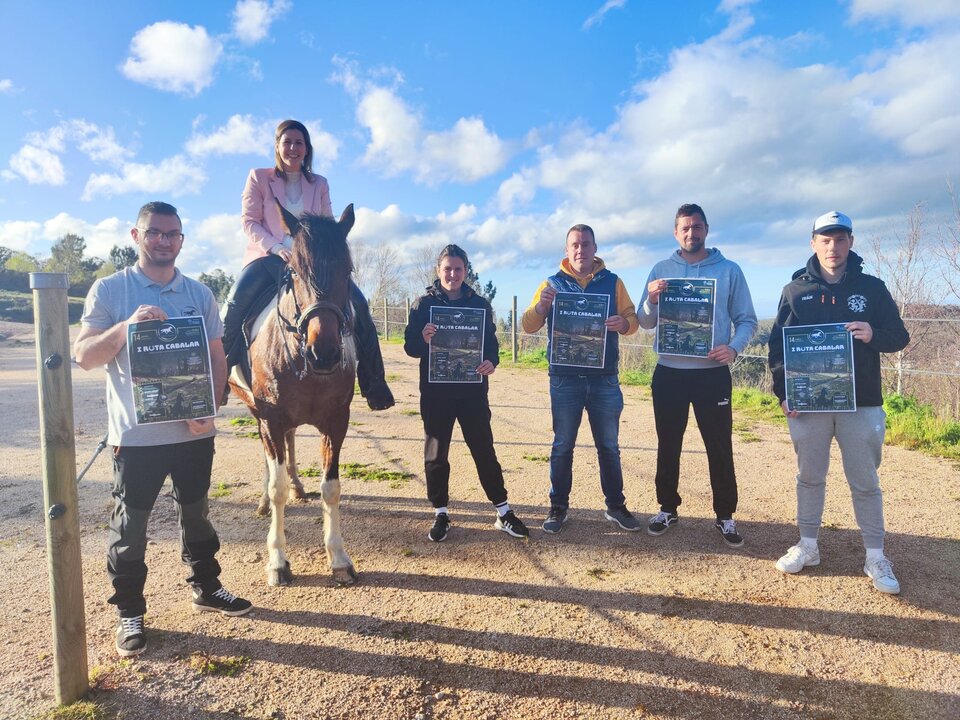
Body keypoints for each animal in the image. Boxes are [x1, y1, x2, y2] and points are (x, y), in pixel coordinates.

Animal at [229, 201, 360, 584]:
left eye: (347, 271)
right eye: (295, 273)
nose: (324, 352)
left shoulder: (336, 422)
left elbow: (331, 488)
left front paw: (339, 558)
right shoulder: (270, 417)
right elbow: (277, 489)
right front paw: (277, 561)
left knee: (288, 446)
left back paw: (299, 484)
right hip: (258, 413)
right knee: (270, 459)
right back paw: (264, 498)